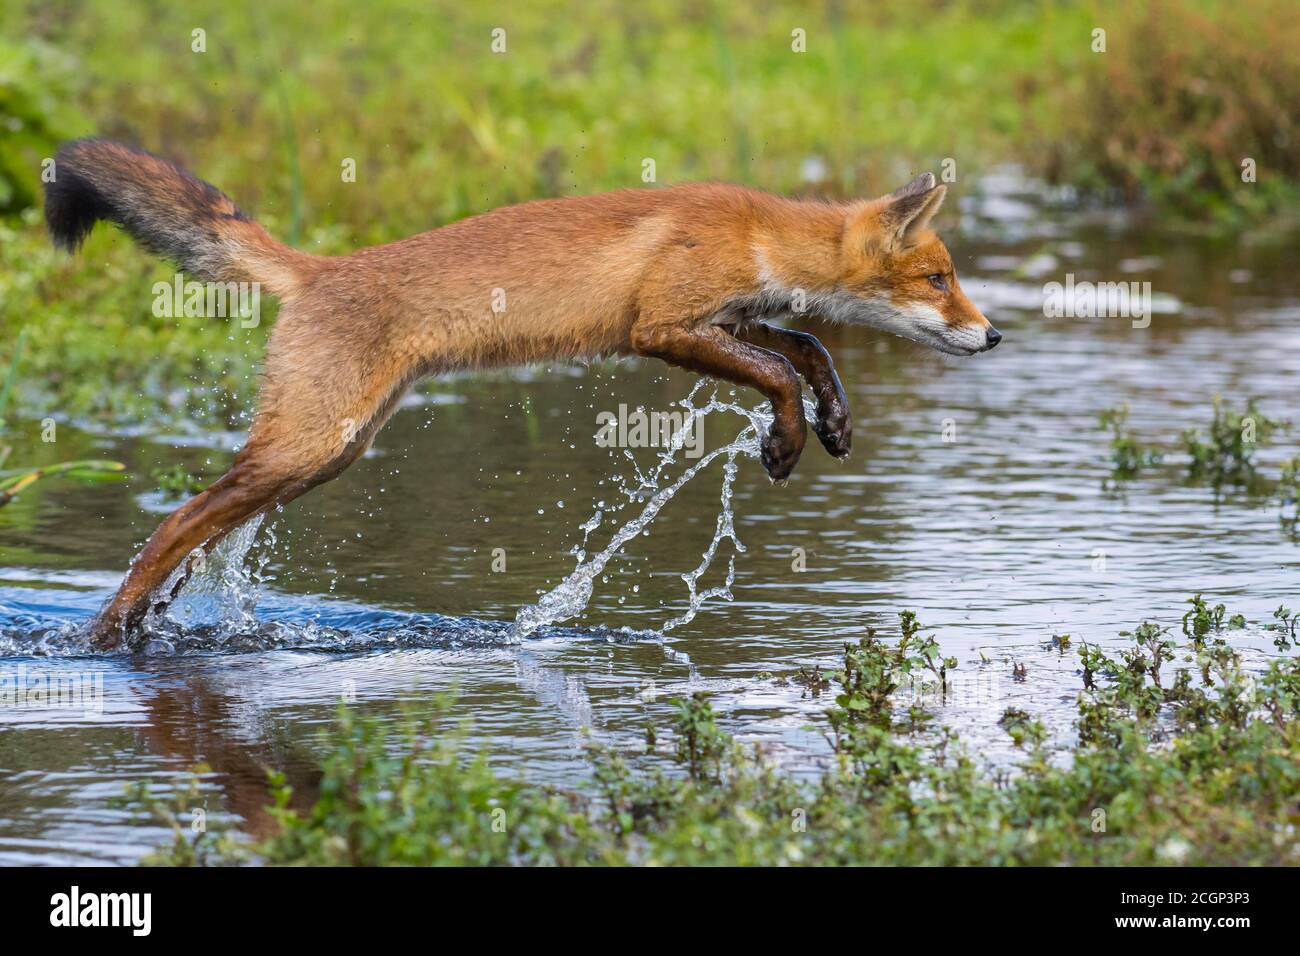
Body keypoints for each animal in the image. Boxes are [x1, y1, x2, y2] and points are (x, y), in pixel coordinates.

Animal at [40, 140, 993, 650]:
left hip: (327, 454)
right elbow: (779, 371)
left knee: (199, 529)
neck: (758, 235)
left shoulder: (727, 318)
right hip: (311, 443)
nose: (993, 336)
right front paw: (787, 438)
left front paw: (832, 419)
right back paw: (104, 638)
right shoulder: (660, 327)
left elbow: (807, 346)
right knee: (174, 522)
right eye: (939, 280)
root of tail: (319, 270)